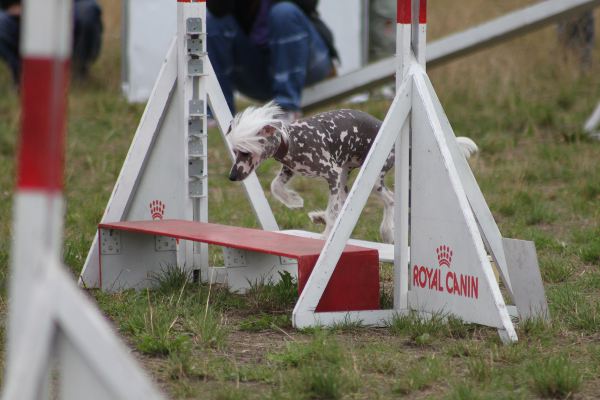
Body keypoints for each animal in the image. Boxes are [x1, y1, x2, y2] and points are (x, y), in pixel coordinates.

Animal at [226, 101, 478, 242]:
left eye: (245, 152)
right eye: (235, 151)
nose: (232, 177)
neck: (294, 140)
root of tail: (396, 140)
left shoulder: (331, 173)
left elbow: (333, 210)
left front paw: (325, 235)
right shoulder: (291, 170)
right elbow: (275, 186)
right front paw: (294, 201)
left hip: (371, 177)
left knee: (390, 200)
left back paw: (386, 231)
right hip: (346, 176)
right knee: (345, 203)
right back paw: (320, 217)